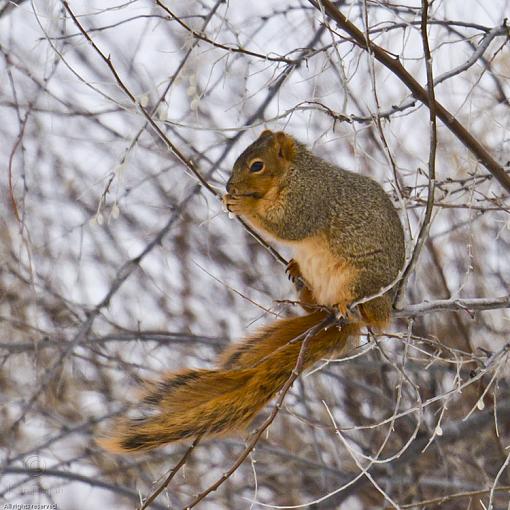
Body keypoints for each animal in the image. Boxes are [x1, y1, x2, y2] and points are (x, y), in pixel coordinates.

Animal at [97, 129, 404, 452]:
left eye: (257, 165)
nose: (229, 186)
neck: (296, 172)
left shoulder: (309, 200)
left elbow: (287, 225)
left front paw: (244, 205)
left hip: (362, 279)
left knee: (360, 304)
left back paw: (348, 304)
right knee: (312, 304)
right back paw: (299, 278)